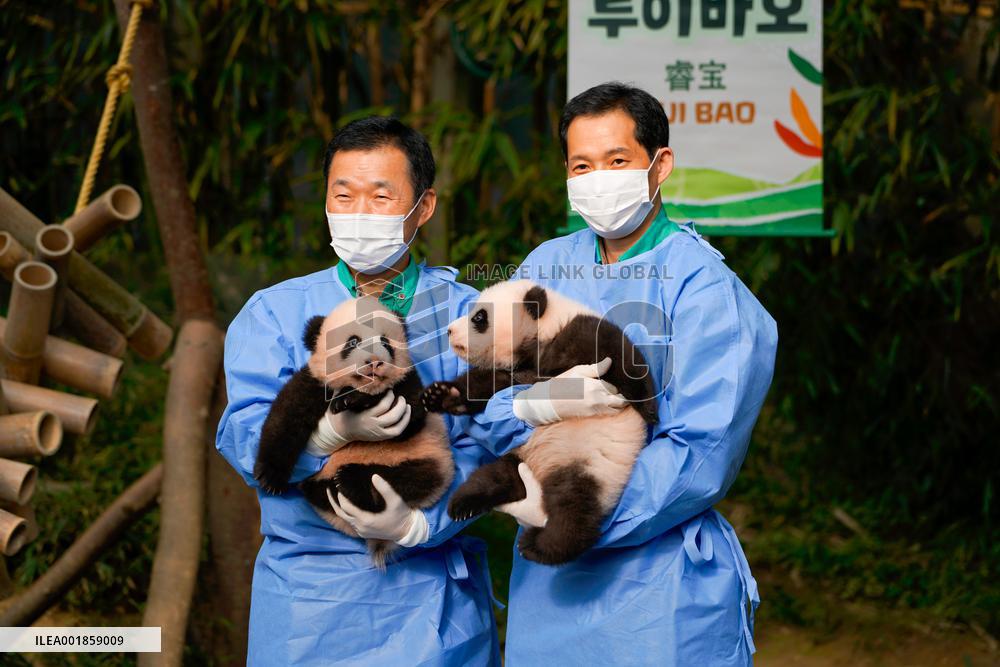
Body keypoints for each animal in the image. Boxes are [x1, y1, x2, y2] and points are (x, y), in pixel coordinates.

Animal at [253, 295, 454, 568]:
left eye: (385, 341)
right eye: (353, 342)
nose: (374, 361)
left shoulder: (408, 382)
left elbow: (409, 417)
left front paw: (353, 399)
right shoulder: (316, 382)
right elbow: (286, 416)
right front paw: (270, 477)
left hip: (429, 459)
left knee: (410, 478)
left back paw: (350, 480)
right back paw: (325, 486)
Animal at [420, 279, 659, 565]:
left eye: (479, 317)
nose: (449, 331)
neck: (541, 335)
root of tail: (540, 474)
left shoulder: (578, 333)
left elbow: (623, 359)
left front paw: (649, 411)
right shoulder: (516, 370)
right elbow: (487, 385)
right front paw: (442, 395)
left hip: (591, 464)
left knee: (574, 506)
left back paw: (542, 545)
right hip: (519, 458)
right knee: (496, 478)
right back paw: (464, 503)